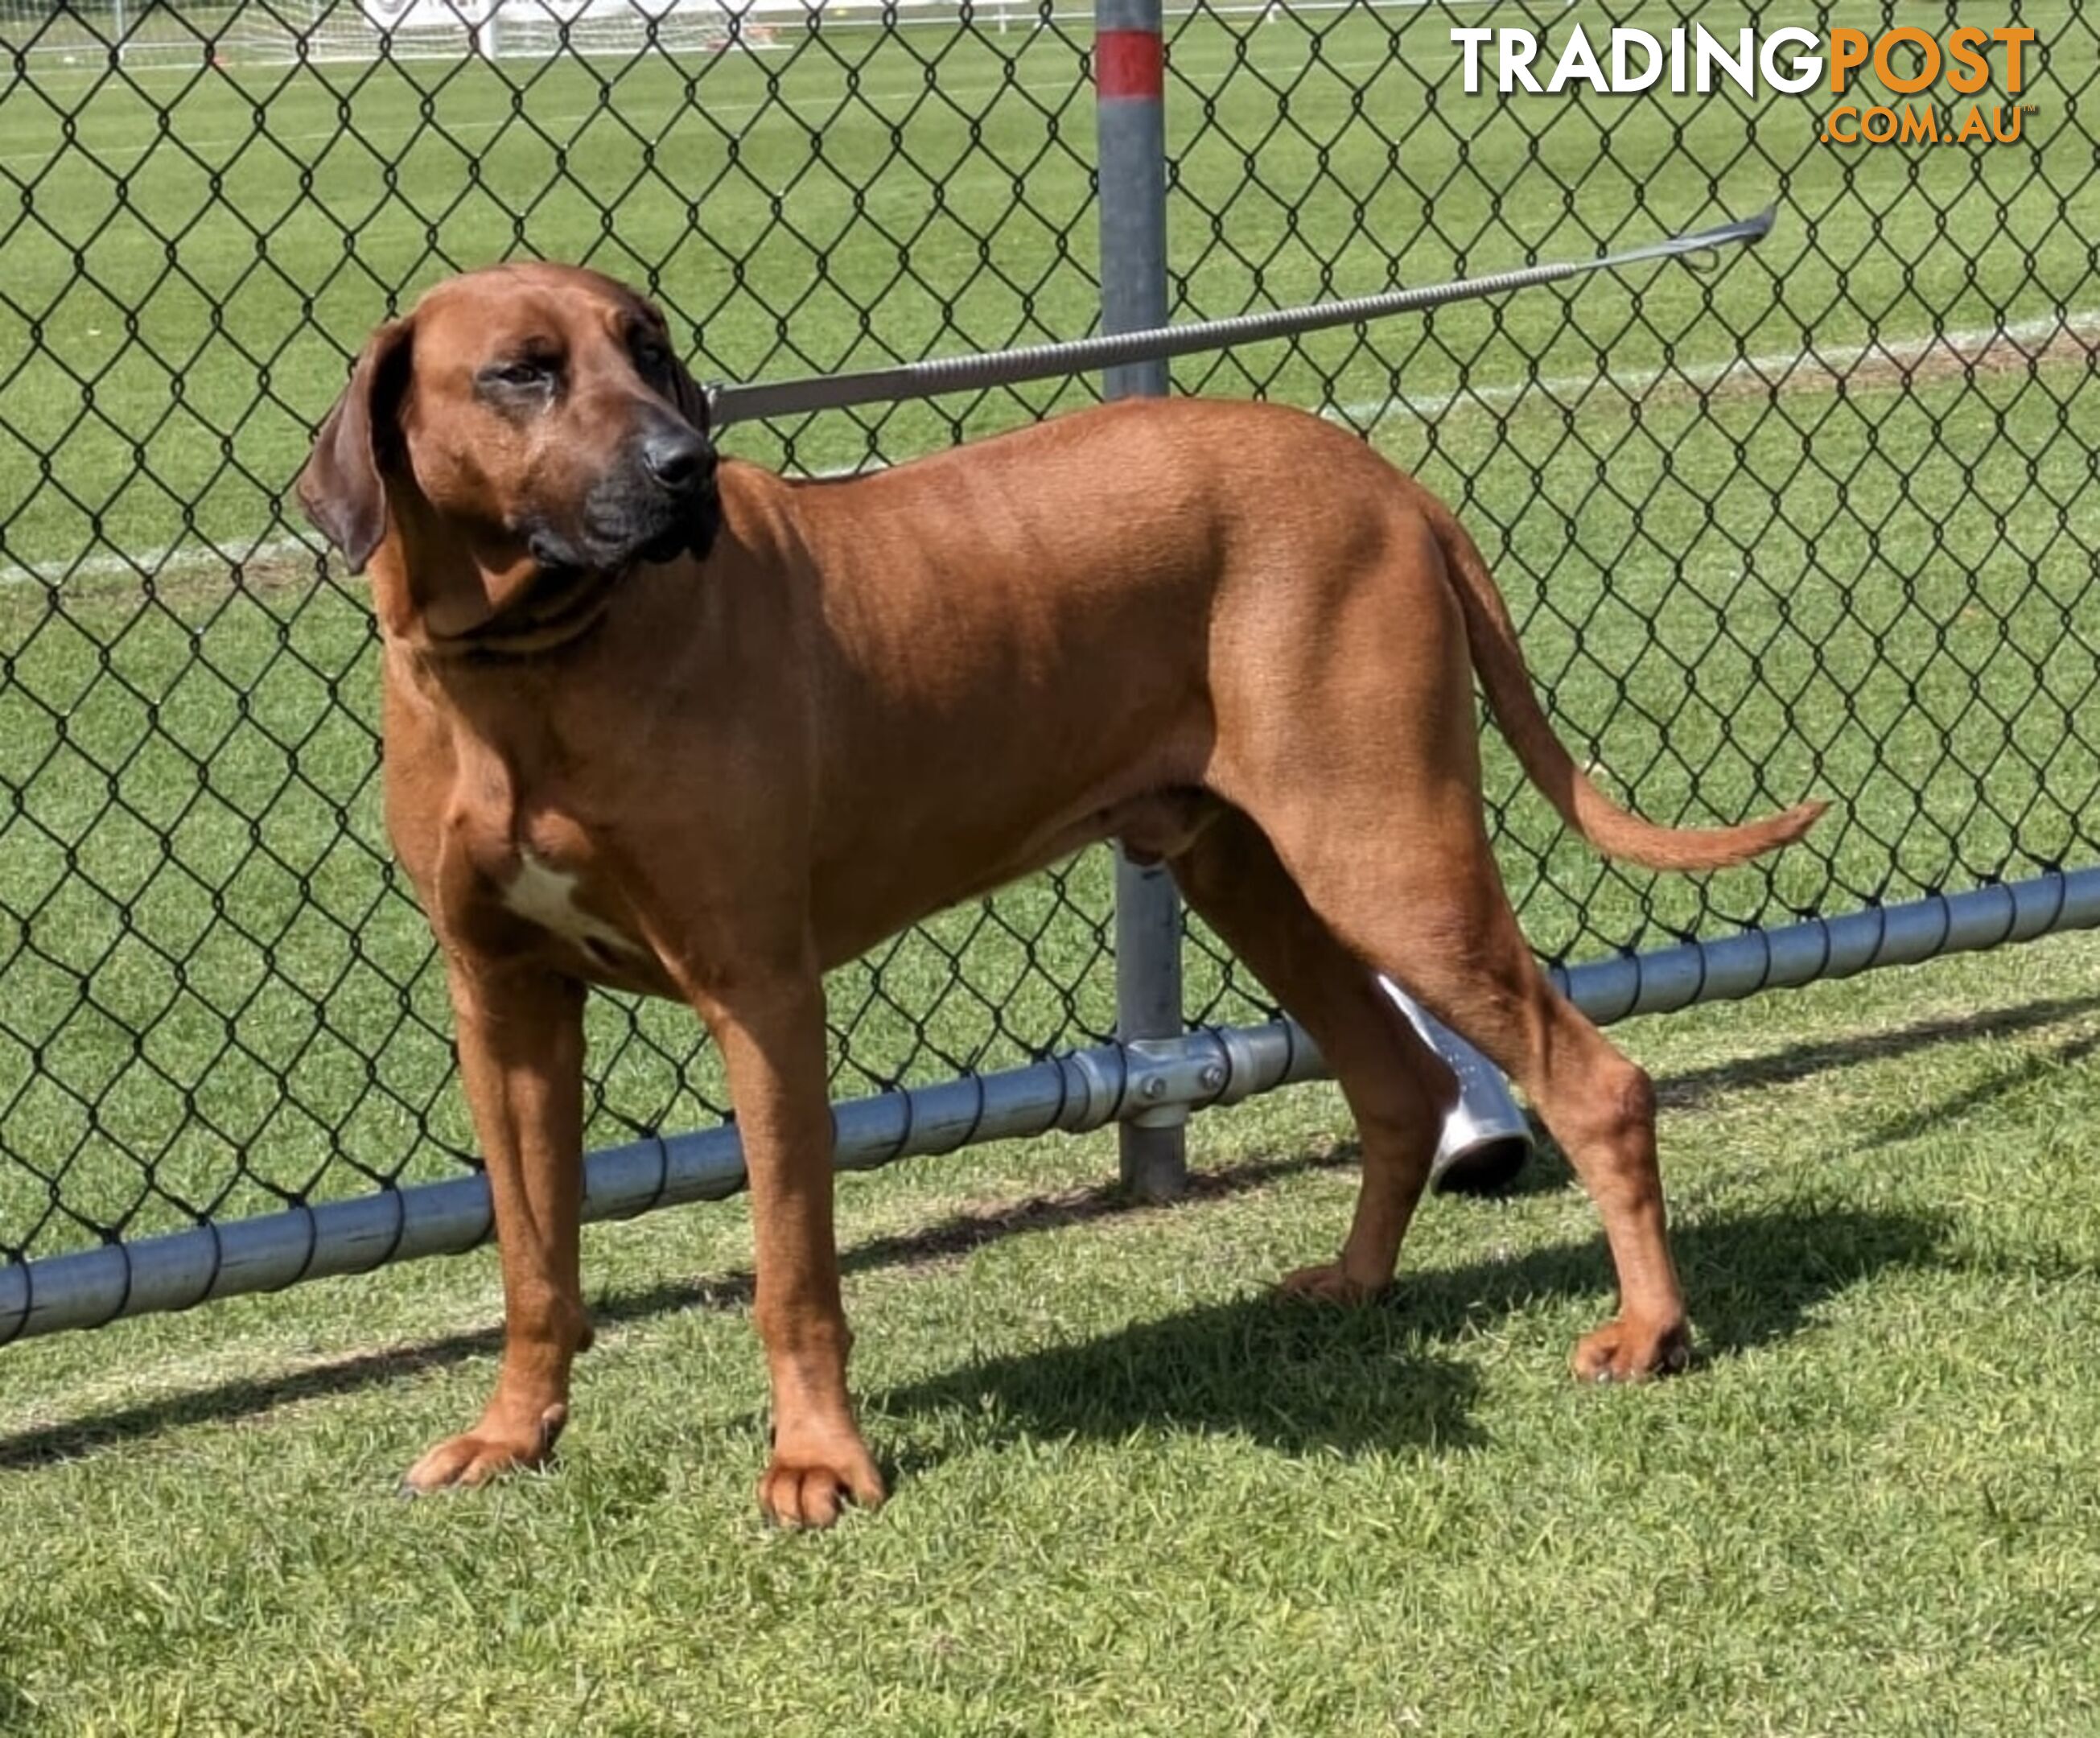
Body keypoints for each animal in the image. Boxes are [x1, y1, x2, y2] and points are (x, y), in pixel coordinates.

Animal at [296, 257, 1822, 1519]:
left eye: (650, 349)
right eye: (523, 370)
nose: (689, 468)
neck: (529, 671)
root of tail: (1385, 481)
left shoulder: (760, 995)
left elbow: (793, 1269)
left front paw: (816, 1461)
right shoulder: (504, 1006)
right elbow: (532, 1257)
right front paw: (514, 1434)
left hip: (1385, 856)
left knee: (1597, 1081)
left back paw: (1649, 1330)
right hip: (1249, 872)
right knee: (1398, 1079)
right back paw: (1357, 1282)